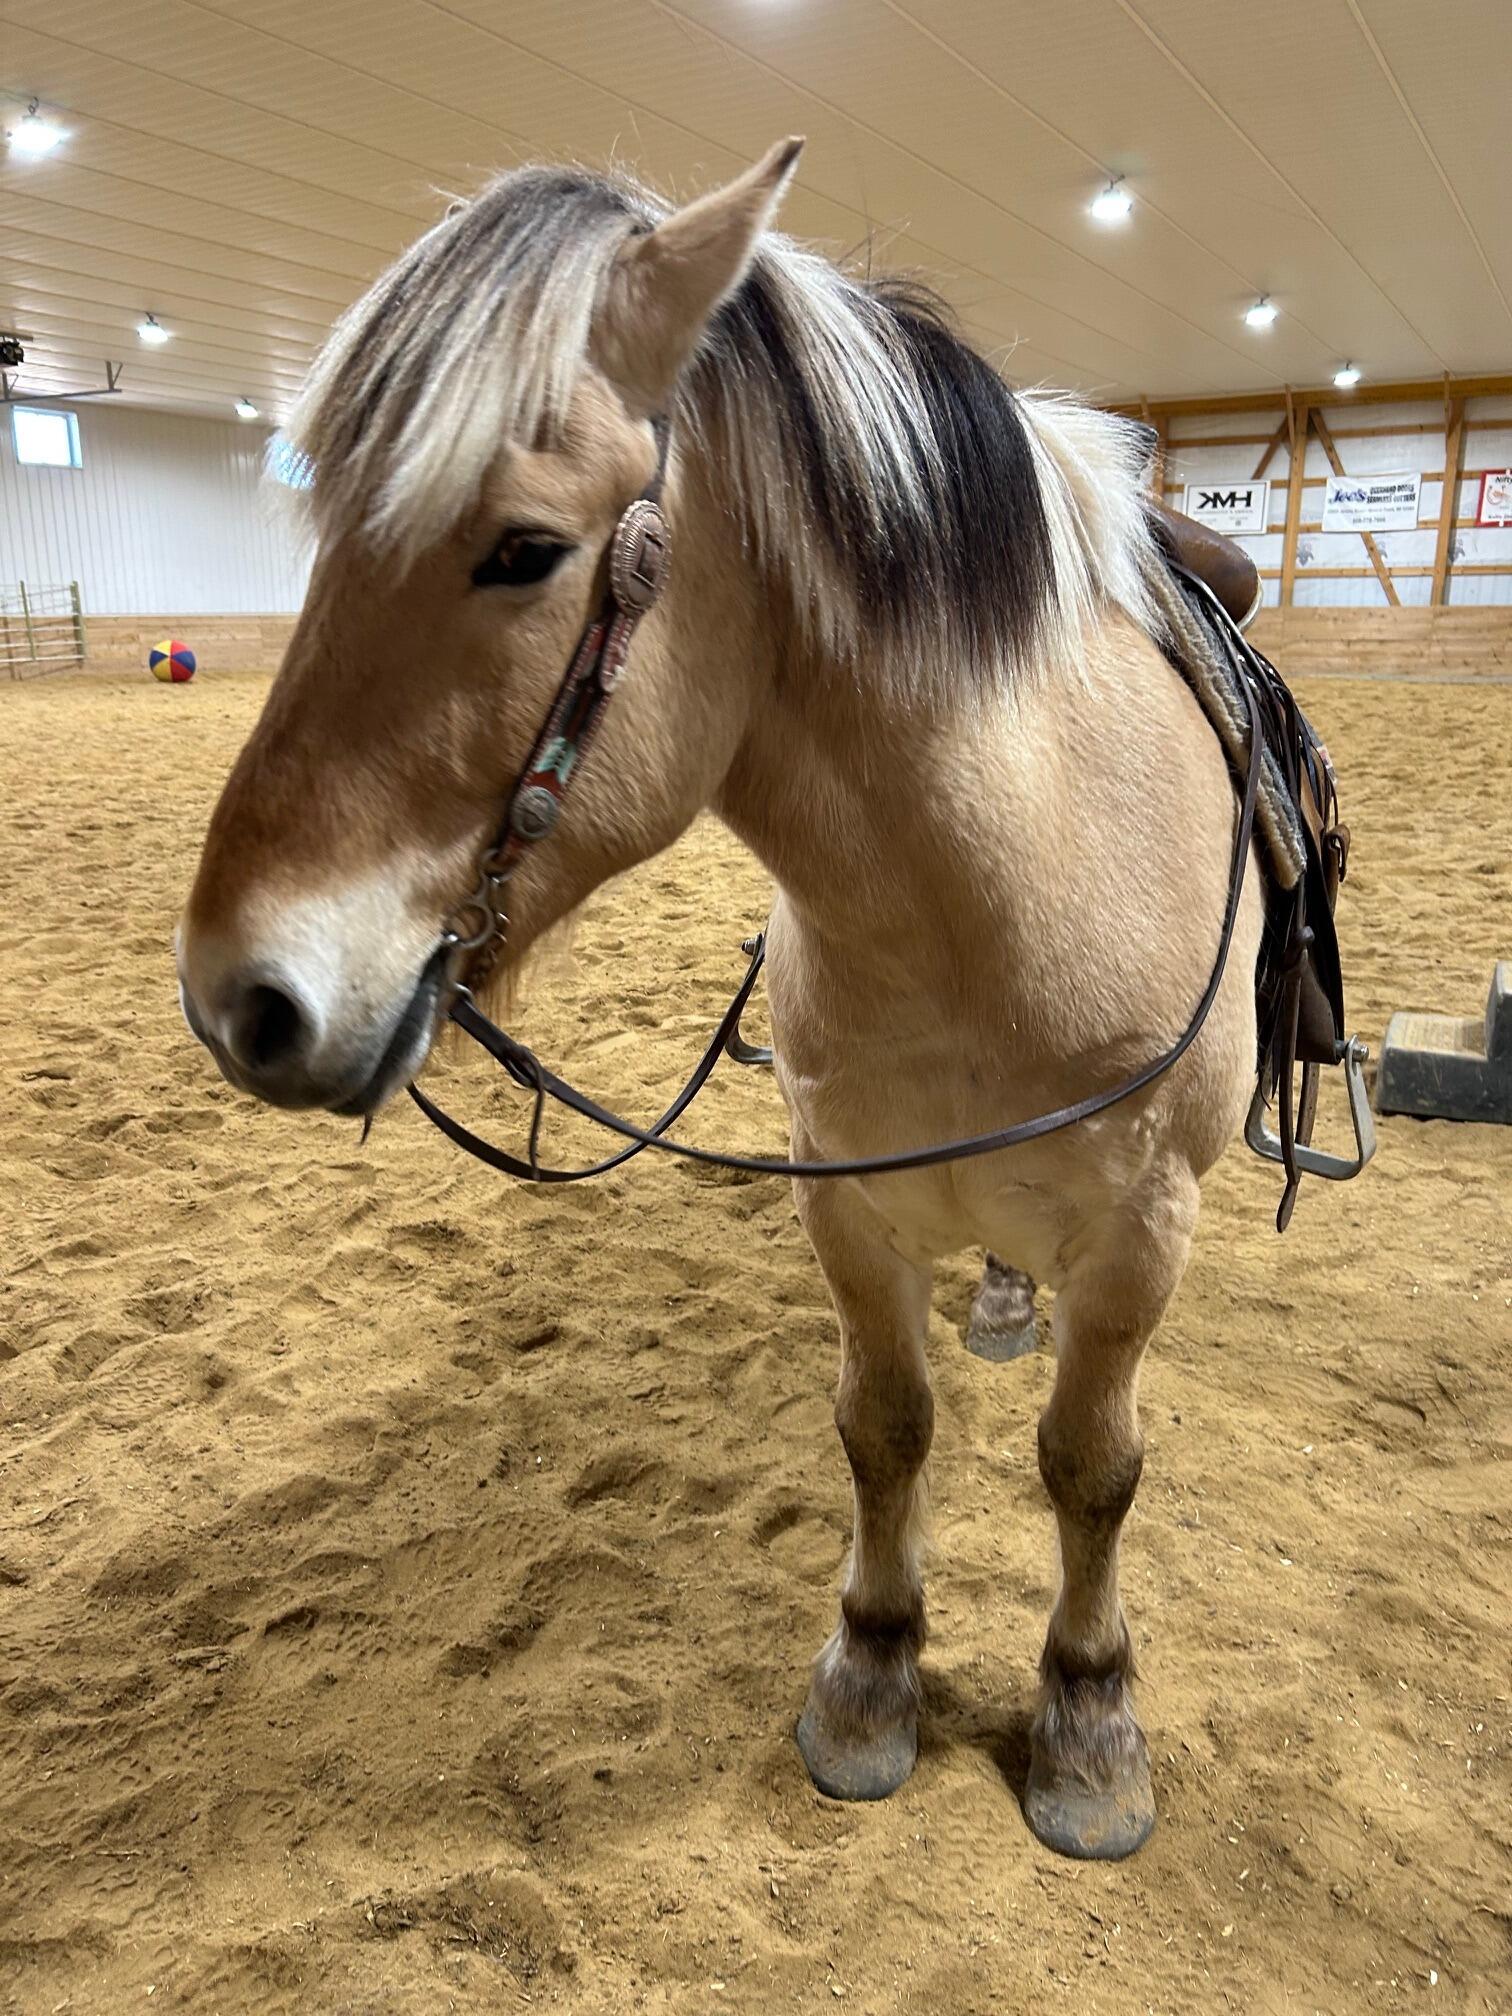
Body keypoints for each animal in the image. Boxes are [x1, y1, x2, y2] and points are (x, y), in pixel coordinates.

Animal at [177, 139, 1269, 1861]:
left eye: (525, 550)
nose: (238, 998)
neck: (1006, 896)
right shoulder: (846, 1200)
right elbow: (885, 1427)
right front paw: (871, 1676)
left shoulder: (1147, 1226)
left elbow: (1093, 1466)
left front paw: (1090, 1721)